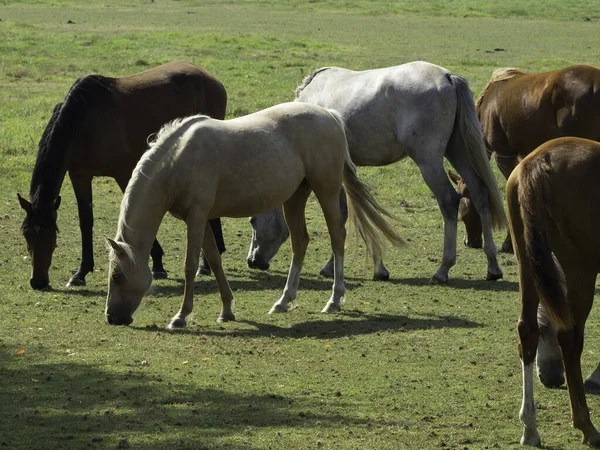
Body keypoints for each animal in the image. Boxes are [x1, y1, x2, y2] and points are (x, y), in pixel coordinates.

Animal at [17, 61, 227, 290]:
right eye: (26, 234)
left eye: (51, 235)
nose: (38, 282)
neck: (86, 121)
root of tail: (211, 79)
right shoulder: (80, 176)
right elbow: (85, 221)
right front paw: (81, 273)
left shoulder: (122, 173)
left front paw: (158, 263)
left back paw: (205, 265)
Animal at [104, 101, 404, 326]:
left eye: (116, 276)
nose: (112, 318)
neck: (177, 159)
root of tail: (330, 115)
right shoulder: (200, 218)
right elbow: (214, 260)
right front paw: (226, 310)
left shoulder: (197, 217)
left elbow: (191, 266)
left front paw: (181, 316)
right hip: (295, 198)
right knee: (300, 242)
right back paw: (283, 301)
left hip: (326, 191)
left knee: (337, 237)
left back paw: (334, 300)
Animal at [247, 61, 506, 284]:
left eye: (252, 220)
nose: (252, 261)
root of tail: (446, 76)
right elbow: (348, 212)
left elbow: (342, 214)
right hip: (458, 151)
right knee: (480, 193)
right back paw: (492, 266)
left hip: (429, 162)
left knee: (449, 201)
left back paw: (443, 269)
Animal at [508, 136, 600, 446]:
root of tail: (539, 161)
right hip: (580, 270)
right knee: (569, 338)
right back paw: (586, 425)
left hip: (526, 260)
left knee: (527, 331)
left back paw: (529, 428)